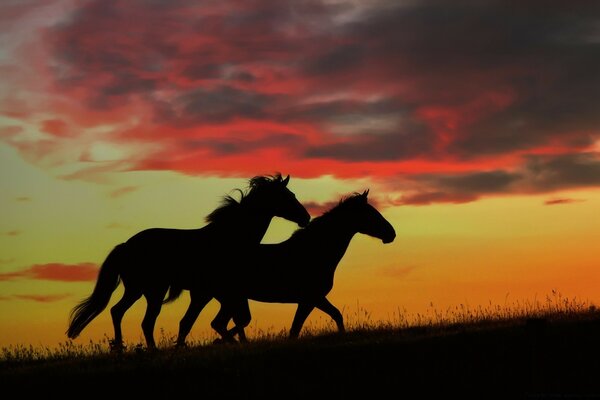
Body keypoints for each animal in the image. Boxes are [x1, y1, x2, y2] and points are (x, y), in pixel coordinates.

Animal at [65, 173, 310, 348]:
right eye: (289, 196)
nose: (306, 217)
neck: (228, 238)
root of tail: (126, 245)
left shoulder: (214, 293)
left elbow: (197, 322)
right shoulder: (213, 292)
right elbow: (207, 322)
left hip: (138, 290)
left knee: (118, 312)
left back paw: (121, 348)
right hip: (151, 290)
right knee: (143, 320)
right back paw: (144, 350)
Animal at [202, 191, 396, 344]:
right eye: (371, 214)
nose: (391, 233)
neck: (311, 252)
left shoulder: (313, 299)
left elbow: (333, 316)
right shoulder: (311, 298)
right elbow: (297, 328)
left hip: (230, 299)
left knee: (226, 323)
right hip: (230, 298)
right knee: (222, 323)